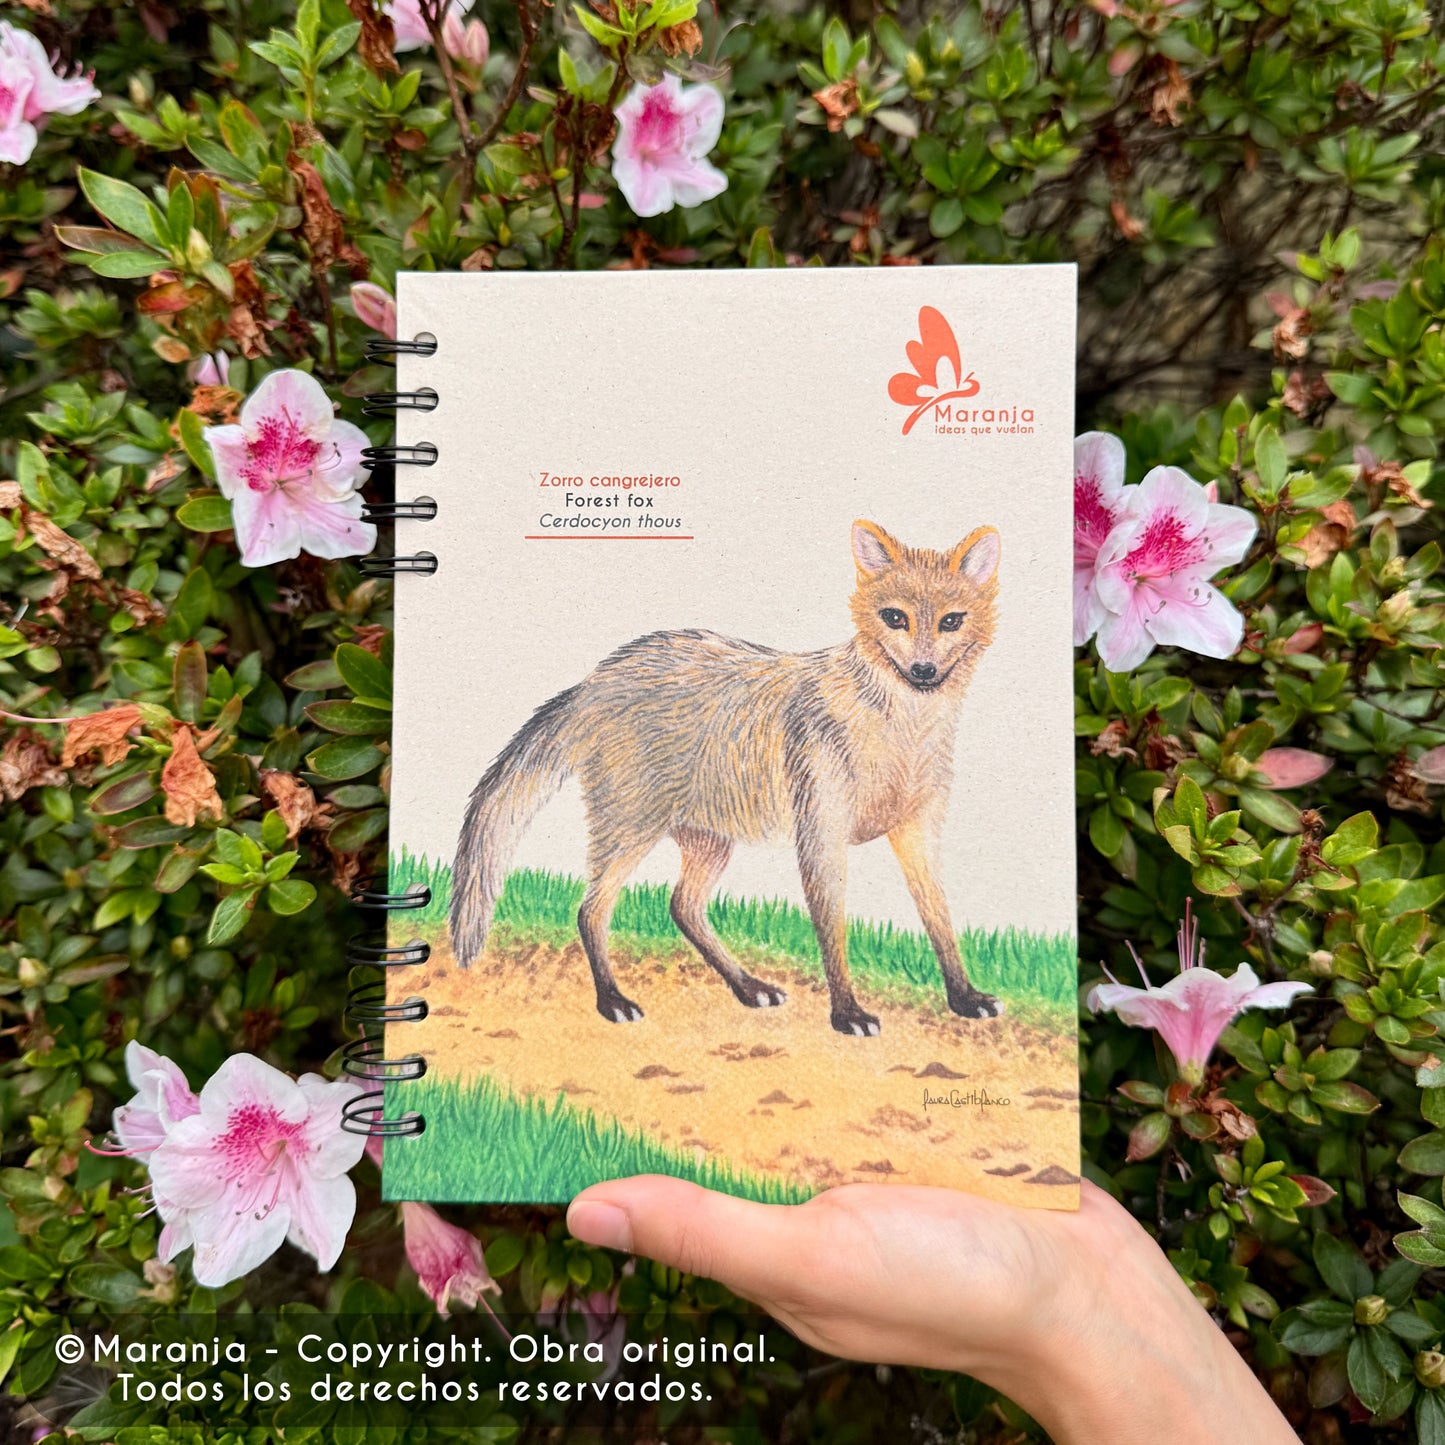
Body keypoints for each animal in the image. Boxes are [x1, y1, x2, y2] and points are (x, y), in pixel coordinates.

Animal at [449, 518, 1003, 1037]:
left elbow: (940, 919)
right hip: (630, 831)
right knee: (591, 910)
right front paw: (846, 1012)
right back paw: (613, 1000)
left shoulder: (917, 832)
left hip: (708, 842)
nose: (924, 670)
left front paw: (964, 997)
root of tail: (594, 679)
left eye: (951, 621)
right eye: (895, 617)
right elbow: (833, 932)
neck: (903, 734)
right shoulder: (820, 836)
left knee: (682, 907)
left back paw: (746, 986)